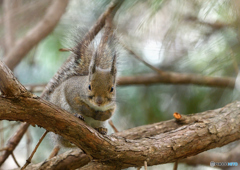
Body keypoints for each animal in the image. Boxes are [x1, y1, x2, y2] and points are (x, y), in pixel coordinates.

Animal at [42, 18, 117, 146]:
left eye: (112, 89)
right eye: (89, 86)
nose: (99, 101)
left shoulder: (112, 104)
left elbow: (110, 112)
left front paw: (101, 115)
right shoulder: (71, 90)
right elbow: (76, 103)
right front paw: (89, 112)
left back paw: (101, 129)